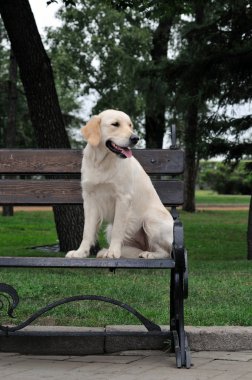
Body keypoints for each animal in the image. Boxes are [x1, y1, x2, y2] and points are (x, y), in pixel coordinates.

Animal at [66, 108, 174, 260]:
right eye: (115, 124)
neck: (102, 162)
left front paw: (113, 252)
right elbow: (87, 231)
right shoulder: (89, 198)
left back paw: (148, 254)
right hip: (111, 229)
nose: (135, 138)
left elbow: (118, 229)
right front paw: (81, 252)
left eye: (130, 125)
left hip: (151, 219)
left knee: (166, 252)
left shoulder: (123, 198)